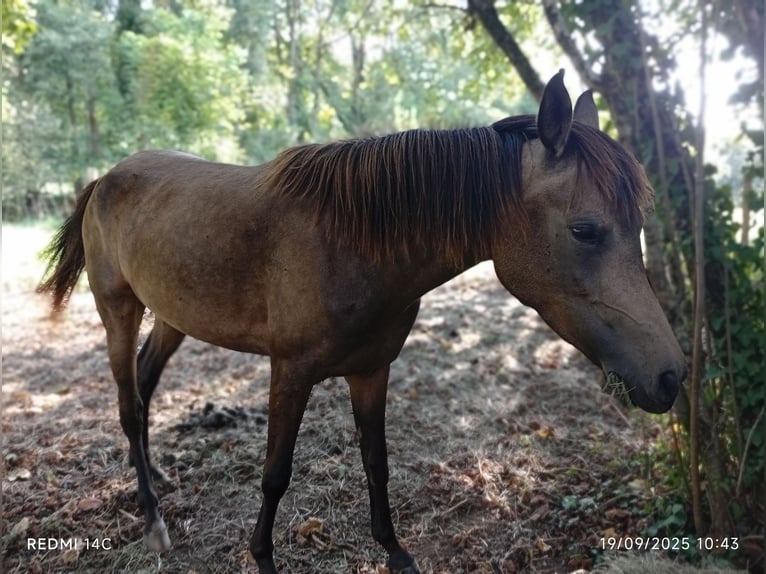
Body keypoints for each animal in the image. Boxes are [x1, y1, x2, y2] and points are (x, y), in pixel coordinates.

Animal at [37, 71, 686, 574]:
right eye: (585, 230)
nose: (671, 377)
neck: (351, 243)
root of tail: (103, 179)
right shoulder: (290, 373)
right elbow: (276, 473)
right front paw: (263, 556)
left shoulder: (372, 370)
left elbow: (377, 461)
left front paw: (394, 551)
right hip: (118, 311)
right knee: (129, 405)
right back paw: (152, 519)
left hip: (173, 316)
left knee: (145, 387)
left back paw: (157, 477)